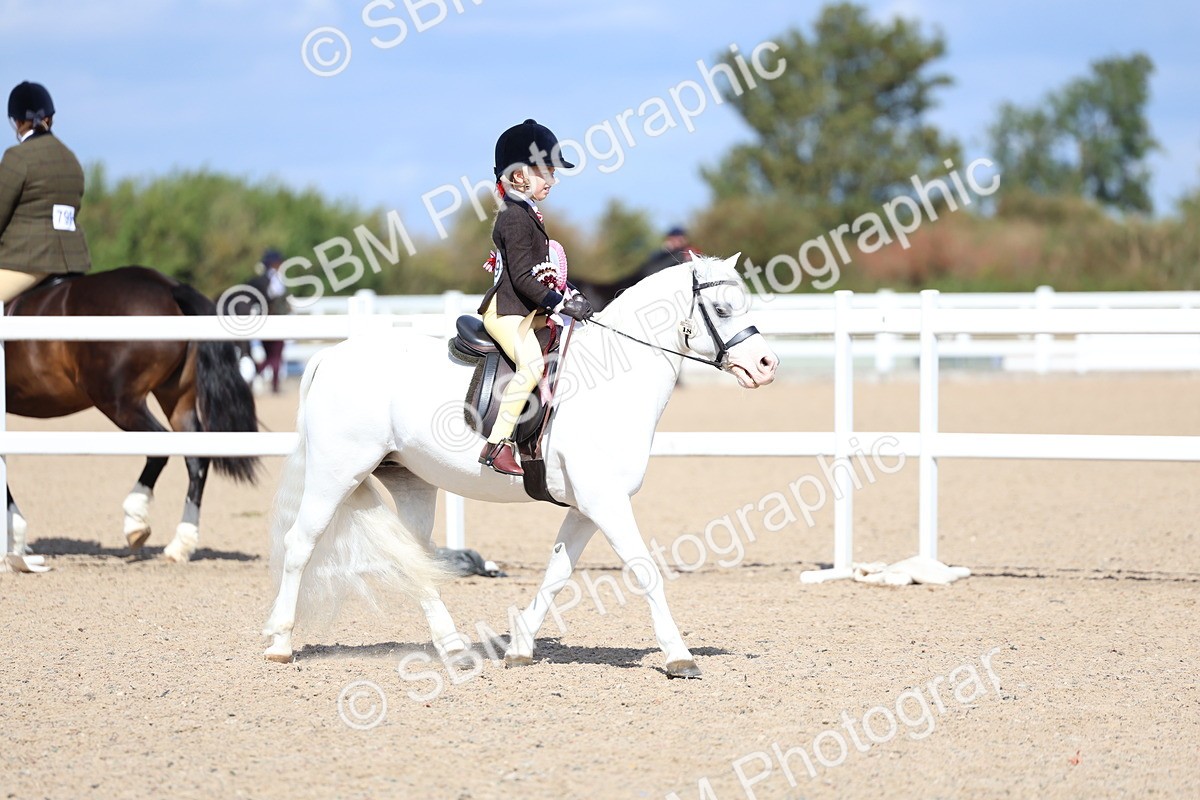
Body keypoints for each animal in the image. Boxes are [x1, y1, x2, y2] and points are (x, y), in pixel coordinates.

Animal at [3, 266, 260, 569]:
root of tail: (168, 286)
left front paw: (15, 536)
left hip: (119, 403)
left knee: (161, 447)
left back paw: (135, 521)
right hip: (176, 399)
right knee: (196, 459)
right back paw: (180, 544)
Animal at [262, 254, 778, 677]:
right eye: (723, 310)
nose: (767, 364)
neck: (615, 379)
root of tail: (330, 355)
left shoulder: (586, 508)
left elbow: (557, 575)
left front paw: (520, 649)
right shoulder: (606, 502)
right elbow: (645, 569)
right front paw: (678, 656)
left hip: (411, 483)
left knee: (415, 561)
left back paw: (454, 649)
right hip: (336, 474)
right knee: (300, 545)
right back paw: (281, 644)